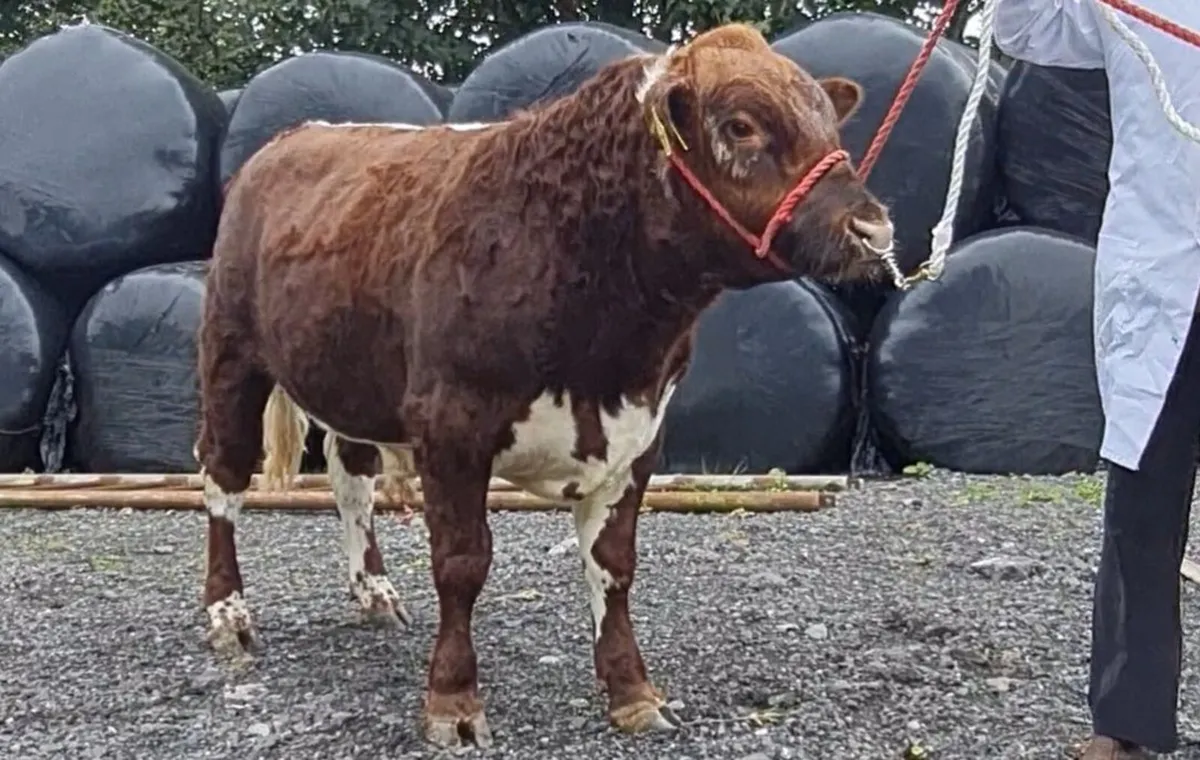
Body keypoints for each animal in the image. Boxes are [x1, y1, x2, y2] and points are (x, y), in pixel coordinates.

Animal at [196, 21, 894, 749]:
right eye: (741, 125)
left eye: (828, 122)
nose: (873, 228)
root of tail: (295, 136)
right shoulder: (451, 422)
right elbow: (462, 562)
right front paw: (453, 700)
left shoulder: (641, 430)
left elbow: (614, 563)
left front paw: (632, 691)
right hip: (230, 352)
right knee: (224, 474)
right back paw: (227, 614)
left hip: (347, 374)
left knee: (350, 475)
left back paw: (374, 592)